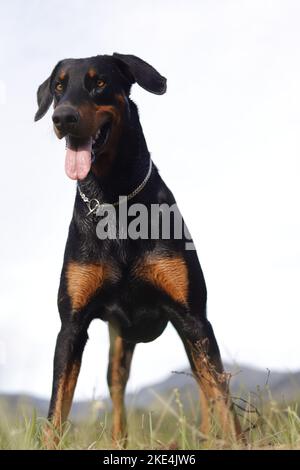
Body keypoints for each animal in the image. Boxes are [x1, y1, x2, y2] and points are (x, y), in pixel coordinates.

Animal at [34, 53, 243, 446]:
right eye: (58, 87)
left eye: (99, 82)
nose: (62, 118)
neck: (113, 198)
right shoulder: (71, 325)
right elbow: (56, 410)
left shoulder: (194, 317)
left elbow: (221, 398)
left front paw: (237, 441)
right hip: (118, 342)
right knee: (116, 386)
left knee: (205, 383)